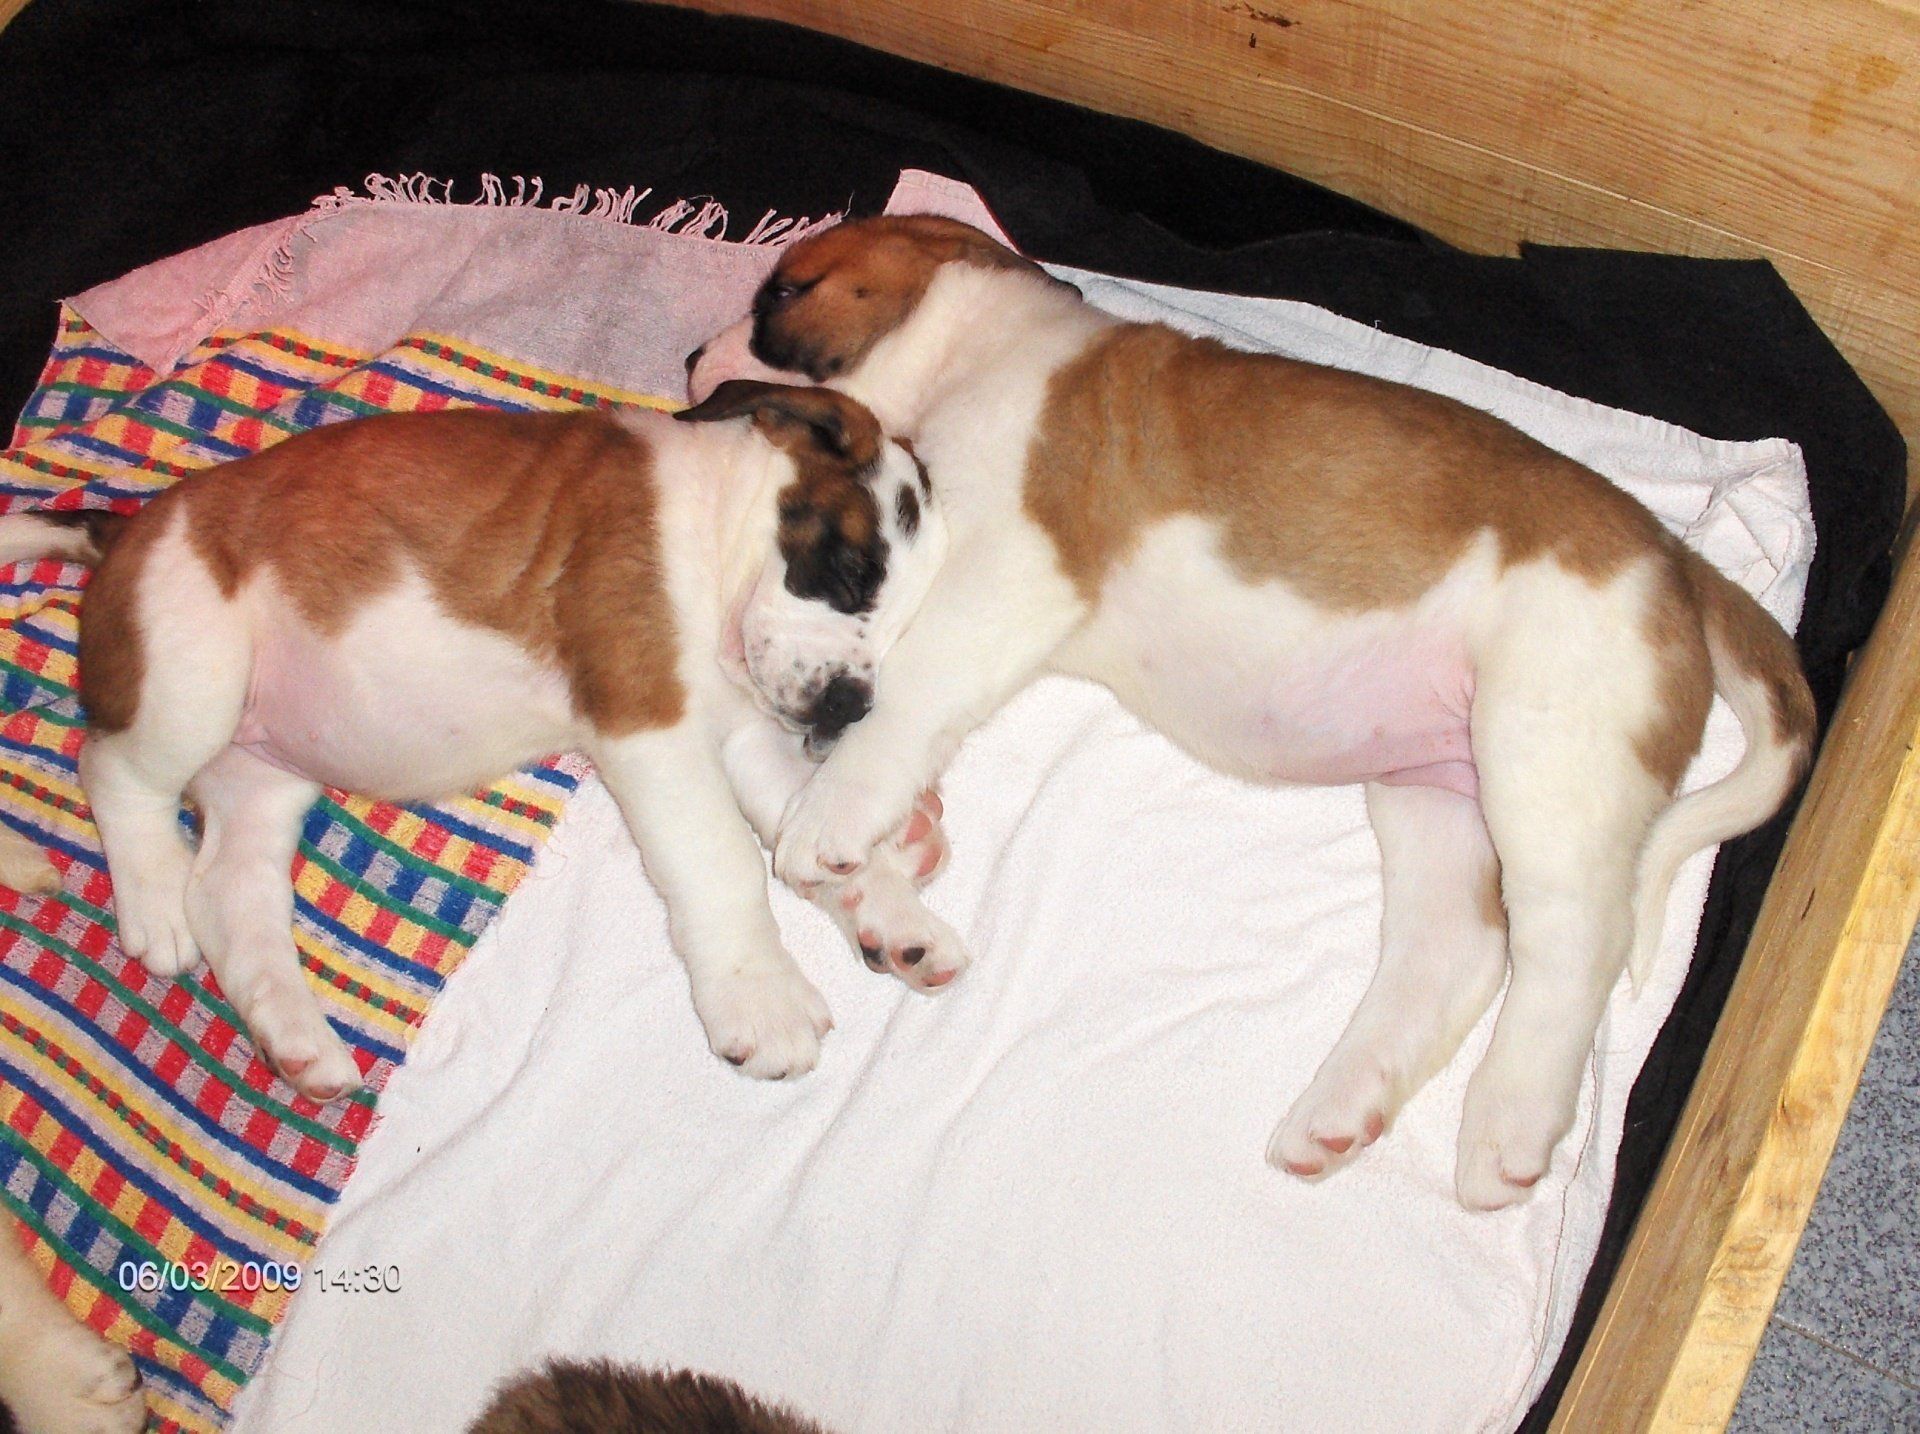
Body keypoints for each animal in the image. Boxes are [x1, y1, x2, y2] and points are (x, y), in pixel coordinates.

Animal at [0, 381, 968, 1100]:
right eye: (850, 573)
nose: (848, 707)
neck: (711, 527)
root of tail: (127, 525)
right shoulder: (647, 719)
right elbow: (722, 860)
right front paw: (760, 998)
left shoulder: (736, 731)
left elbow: (797, 820)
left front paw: (887, 911)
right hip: (191, 672)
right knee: (111, 770)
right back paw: (155, 902)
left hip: (262, 773)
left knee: (230, 891)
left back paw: (296, 1039)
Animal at [688, 215, 1815, 1208]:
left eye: (781, 291)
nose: (699, 353)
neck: (984, 347)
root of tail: (1677, 560)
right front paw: (896, 829)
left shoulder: (1004, 569)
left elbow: (907, 694)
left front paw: (834, 816)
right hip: (1436, 794)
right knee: (1461, 949)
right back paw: (1344, 1105)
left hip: (1546, 749)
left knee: (1574, 939)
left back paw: (1509, 1123)